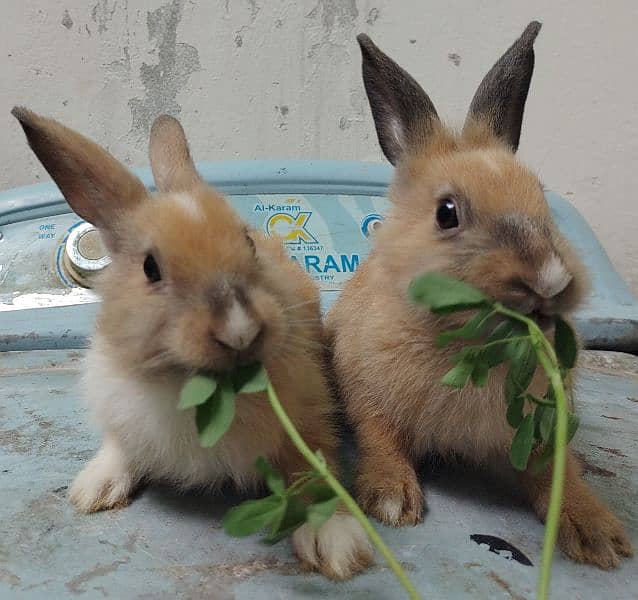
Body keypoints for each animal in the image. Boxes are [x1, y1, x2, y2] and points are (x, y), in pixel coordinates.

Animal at [12, 108, 376, 580]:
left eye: (248, 242)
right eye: (150, 268)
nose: (239, 329)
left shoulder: (310, 421)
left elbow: (316, 475)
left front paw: (335, 542)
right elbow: (121, 446)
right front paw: (93, 489)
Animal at [330, 22, 636, 568]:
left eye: (541, 200)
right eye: (446, 212)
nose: (549, 279)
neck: (472, 346)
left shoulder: (541, 431)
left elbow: (555, 472)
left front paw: (597, 532)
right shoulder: (367, 394)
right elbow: (380, 438)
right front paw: (391, 499)